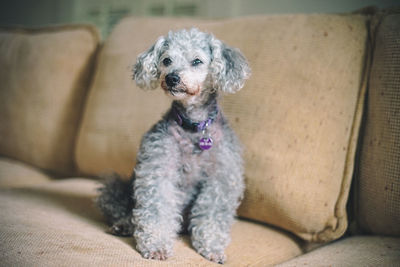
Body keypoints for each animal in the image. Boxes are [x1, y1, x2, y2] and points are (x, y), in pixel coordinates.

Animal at [97, 28, 250, 264]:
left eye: (197, 61)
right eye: (166, 60)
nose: (171, 77)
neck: (193, 128)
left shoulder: (221, 179)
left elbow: (213, 215)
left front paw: (212, 247)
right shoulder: (158, 172)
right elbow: (157, 210)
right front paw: (156, 245)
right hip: (116, 187)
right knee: (125, 210)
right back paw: (123, 225)